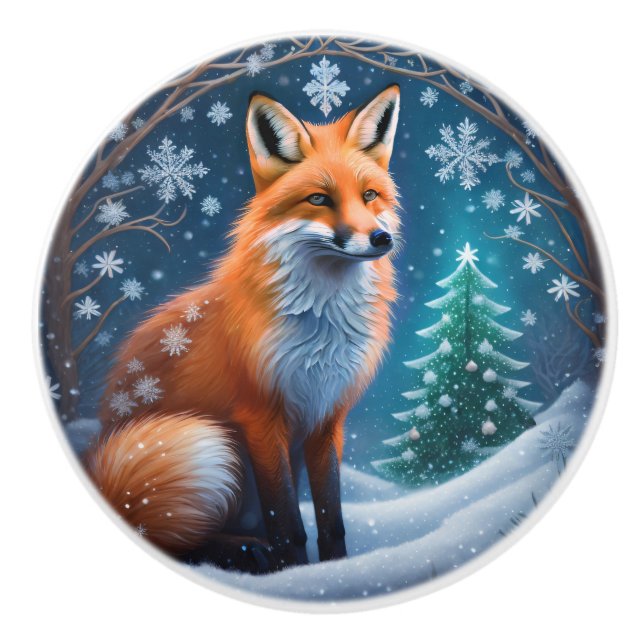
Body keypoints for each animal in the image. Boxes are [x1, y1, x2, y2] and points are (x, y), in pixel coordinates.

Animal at [87, 84, 402, 573]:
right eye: (319, 199)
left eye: (369, 195)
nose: (380, 239)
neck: (322, 328)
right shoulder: (260, 417)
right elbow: (287, 522)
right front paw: (295, 575)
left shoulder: (326, 415)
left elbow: (331, 518)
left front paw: (335, 572)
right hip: (208, 444)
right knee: (174, 539)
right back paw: (246, 553)